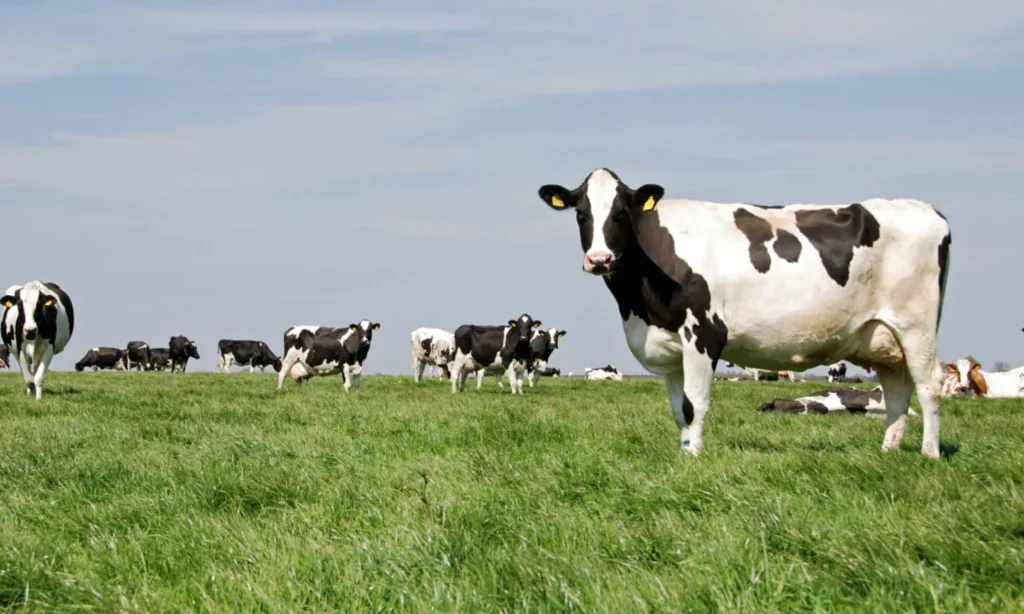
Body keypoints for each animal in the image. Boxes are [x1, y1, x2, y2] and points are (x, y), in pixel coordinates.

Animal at [544, 166, 950, 456]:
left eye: (621, 214)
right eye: (581, 214)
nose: (599, 259)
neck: (639, 305)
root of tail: (926, 209)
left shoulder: (704, 332)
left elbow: (694, 404)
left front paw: (693, 460)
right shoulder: (670, 346)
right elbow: (678, 409)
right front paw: (683, 454)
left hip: (917, 326)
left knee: (929, 385)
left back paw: (929, 454)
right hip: (883, 337)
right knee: (896, 391)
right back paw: (888, 452)